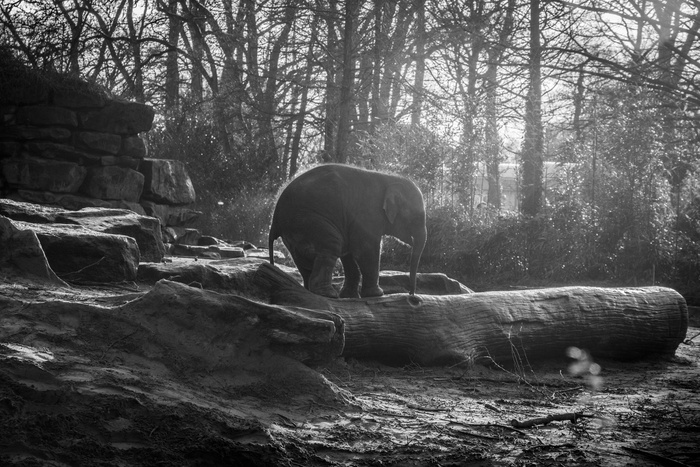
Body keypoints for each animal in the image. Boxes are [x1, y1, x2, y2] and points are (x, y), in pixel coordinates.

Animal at [266, 163, 426, 298]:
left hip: (294, 230)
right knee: (332, 245)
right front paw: (376, 294)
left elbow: (350, 252)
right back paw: (328, 294)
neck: (390, 178)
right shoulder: (367, 214)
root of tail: (274, 219)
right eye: (418, 217)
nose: (411, 294)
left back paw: (310, 290)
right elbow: (365, 249)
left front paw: (350, 296)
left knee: (303, 260)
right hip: (307, 220)